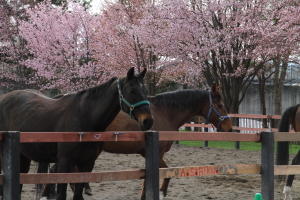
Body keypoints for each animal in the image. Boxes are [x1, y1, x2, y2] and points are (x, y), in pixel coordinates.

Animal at [0, 67, 154, 200]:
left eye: (145, 90)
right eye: (132, 90)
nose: (148, 121)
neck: (84, 118)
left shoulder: (87, 163)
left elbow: (78, 195)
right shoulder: (64, 162)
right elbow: (61, 195)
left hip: (23, 155)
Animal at [42, 84, 232, 198]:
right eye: (220, 105)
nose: (229, 128)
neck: (164, 112)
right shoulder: (155, 153)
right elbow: (165, 173)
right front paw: (161, 192)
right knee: (57, 171)